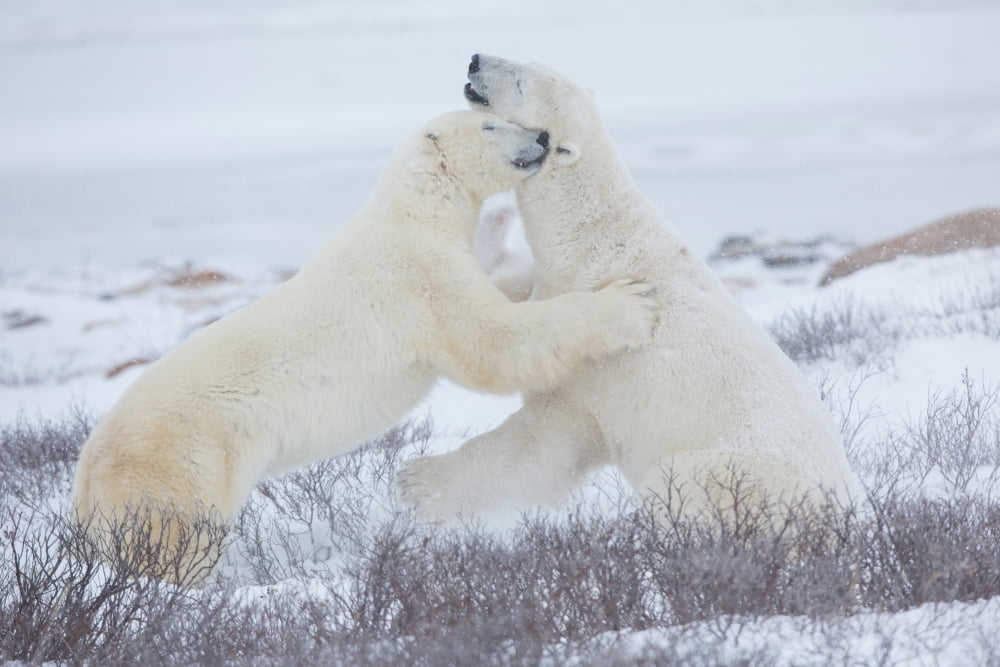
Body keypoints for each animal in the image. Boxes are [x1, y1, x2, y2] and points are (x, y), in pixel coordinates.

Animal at [71, 109, 659, 585]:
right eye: (491, 125)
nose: (542, 135)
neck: (414, 211)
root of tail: (85, 482)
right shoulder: (418, 275)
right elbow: (491, 342)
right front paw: (630, 303)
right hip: (180, 469)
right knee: (173, 544)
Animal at [398, 56, 856, 525]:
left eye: (523, 83)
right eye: (529, 62)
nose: (476, 60)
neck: (591, 237)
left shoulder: (596, 372)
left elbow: (543, 440)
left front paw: (421, 482)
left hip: (726, 476)